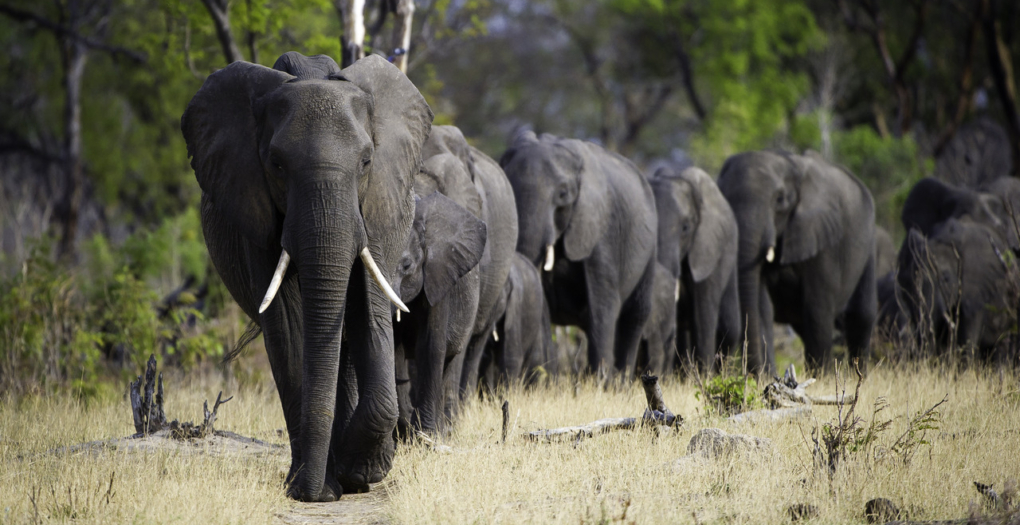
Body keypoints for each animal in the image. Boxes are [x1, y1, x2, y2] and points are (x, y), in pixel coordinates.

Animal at [181, 52, 432, 501]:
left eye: (366, 162)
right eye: (277, 165)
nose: (312, 492)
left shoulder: (378, 204)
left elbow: (368, 307)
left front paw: (358, 471)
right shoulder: (253, 208)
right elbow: (287, 323)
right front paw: (314, 488)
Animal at [499, 129, 656, 379]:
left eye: (563, 195)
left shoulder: (601, 229)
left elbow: (602, 304)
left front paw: (599, 383)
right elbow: (542, 303)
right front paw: (549, 380)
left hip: (650, 248)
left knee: (634, 316)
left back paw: (622, 382)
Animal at [718, 149, 877, 375]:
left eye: (780, 200)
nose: (756, 375)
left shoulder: (823, 240)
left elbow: (817, 309)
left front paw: (822, 377)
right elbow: (762, 306)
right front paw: (767, 377)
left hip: (868, 242)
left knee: (861, 315)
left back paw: (857, 373)